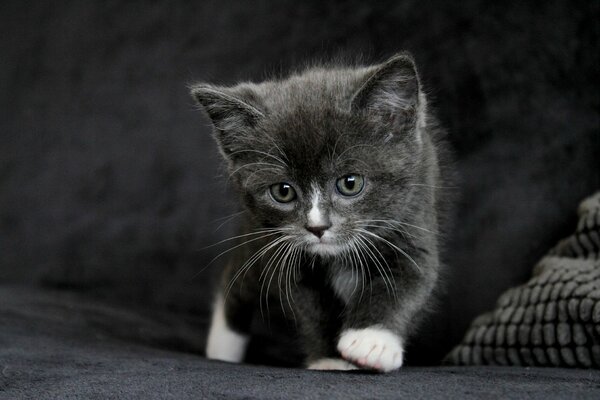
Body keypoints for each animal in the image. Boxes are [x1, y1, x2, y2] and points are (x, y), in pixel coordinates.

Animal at [191, 52, 450, 372]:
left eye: (350, 183)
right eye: (283, 191)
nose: (317, 227)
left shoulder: (414, 211)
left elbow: (410, 277)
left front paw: (372, 341)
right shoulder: (286, 254)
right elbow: (311, 307)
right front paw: (329, 360)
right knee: (237, 282)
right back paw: (221, 347)